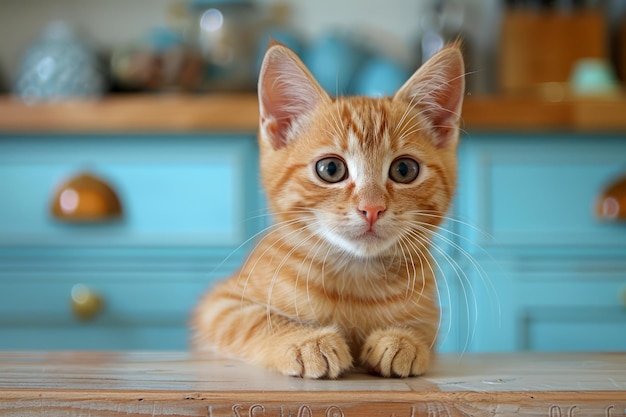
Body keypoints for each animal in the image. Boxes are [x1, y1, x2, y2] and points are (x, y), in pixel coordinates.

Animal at [191, 41, 464, 376]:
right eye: (331, 169)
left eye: (404, 170)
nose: (372, 208)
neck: (356, 279)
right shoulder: (219, 304)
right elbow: (253, 321)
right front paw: (305, 341)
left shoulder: (431, 315)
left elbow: (425, 329)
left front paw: (404, 340)